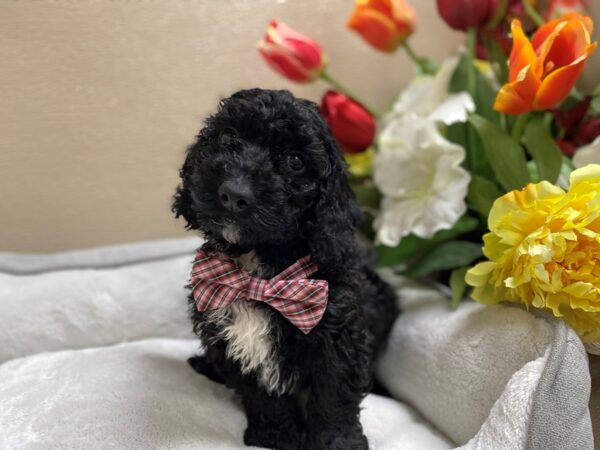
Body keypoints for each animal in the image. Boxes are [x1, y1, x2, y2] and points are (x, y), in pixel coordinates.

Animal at [173, 89, 398, 450]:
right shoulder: (233, 340)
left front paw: (338, 443)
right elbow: (263, 396)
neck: (258, 270)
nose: (233, 193)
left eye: (295, 161)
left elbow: (334, 396)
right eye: (227, 139)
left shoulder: (339, 337)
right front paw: (275, 436)